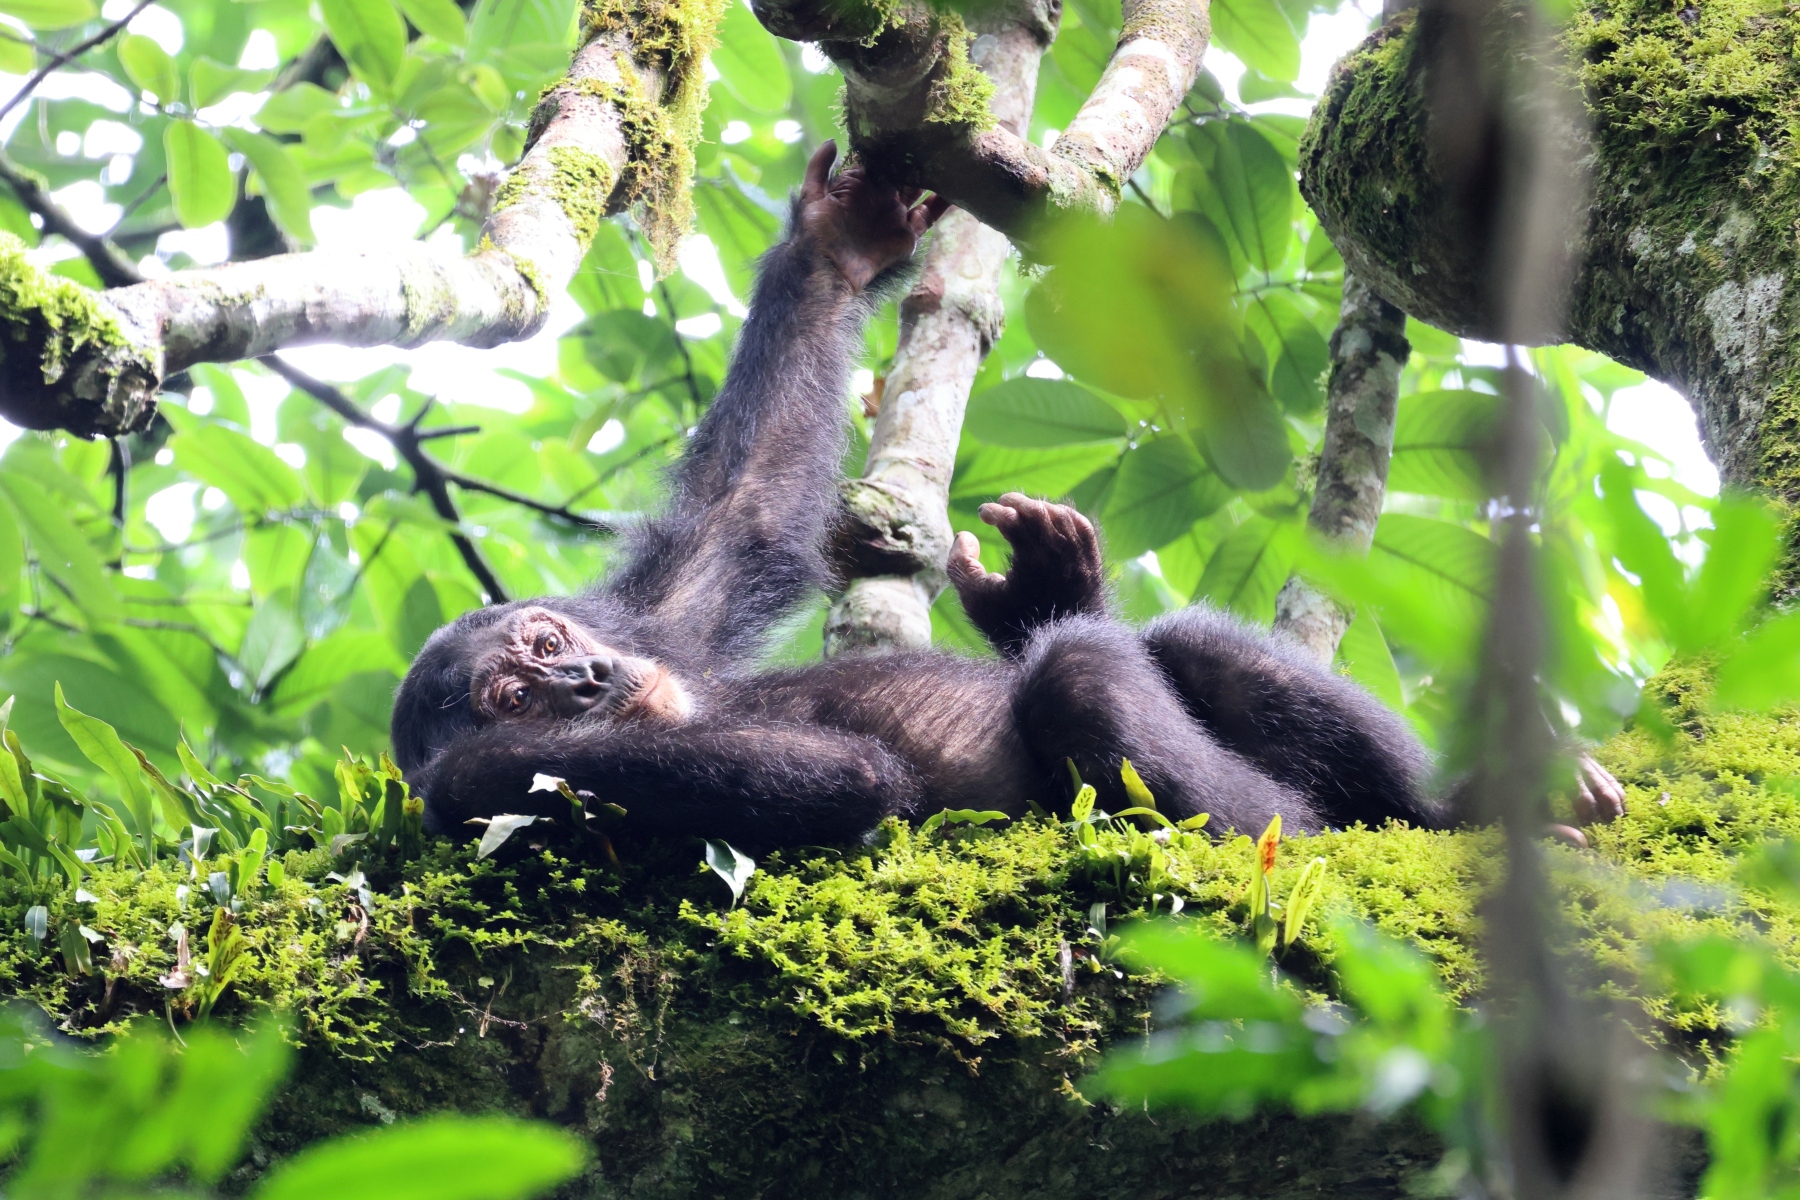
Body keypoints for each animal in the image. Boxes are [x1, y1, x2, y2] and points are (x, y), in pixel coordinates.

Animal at [391, 141, 1450, 851]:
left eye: (546, 643)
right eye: (516, 698)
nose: (585, 679)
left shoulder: (657, 621)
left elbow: (751, 503)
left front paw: (842, 238)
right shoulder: (480, 780)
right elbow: (845, 777)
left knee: (1187, 646)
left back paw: (1452, 812)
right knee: (1083, 682)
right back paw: (1300, 835)